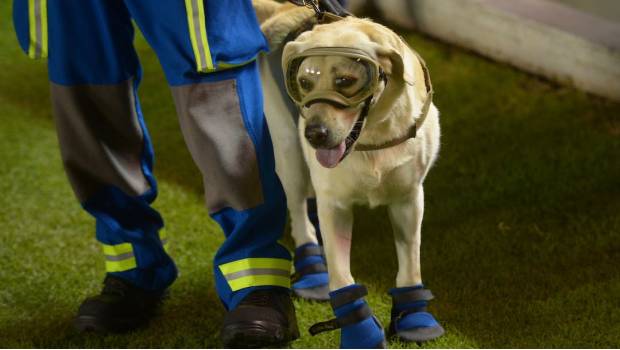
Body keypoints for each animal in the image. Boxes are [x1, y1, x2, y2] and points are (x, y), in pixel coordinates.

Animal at [254, 0, 444, 344]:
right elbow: (342, 277)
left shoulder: (409, 199)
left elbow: (411, 262)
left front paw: (415, 316)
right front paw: (360, 332)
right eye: (305, 82)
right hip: (287, 152)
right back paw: (313, 270)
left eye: (345, 80)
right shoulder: (335, 205)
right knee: (299, 214)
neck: (373, 138)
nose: (315, 135)